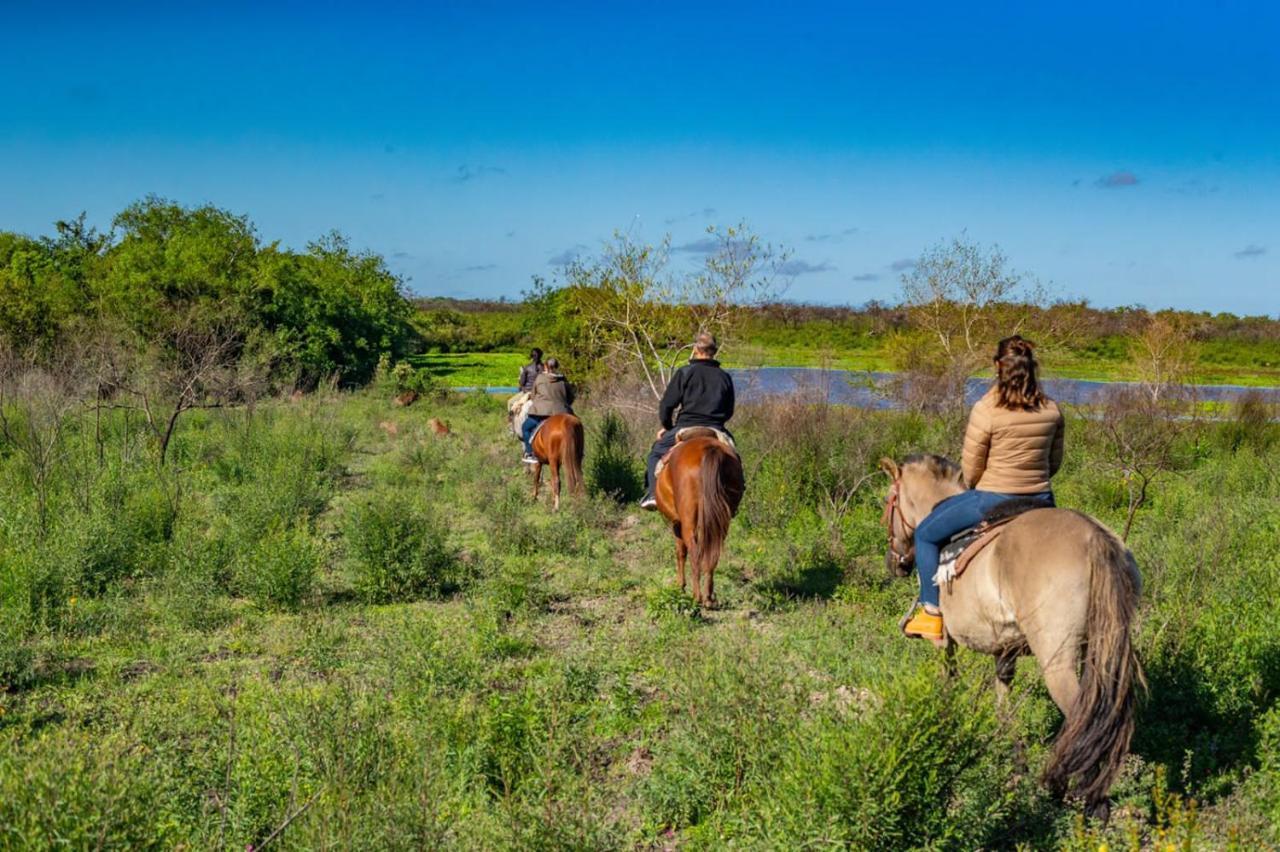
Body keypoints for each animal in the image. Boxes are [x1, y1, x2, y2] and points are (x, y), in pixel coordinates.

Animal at [655, 427, 747, 606]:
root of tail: (709, 449)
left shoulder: (676, 523)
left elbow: (680, 552)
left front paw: (680, 586)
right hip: (720, 521)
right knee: (713, 553)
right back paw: (709, 597)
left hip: (688, 522)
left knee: (694, 552)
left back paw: (697, 596)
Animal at [880, 450, 1141, 818]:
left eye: (888, 501)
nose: (895, 564)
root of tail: (1095, 540)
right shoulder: (1005, 651)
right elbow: (1005, 707)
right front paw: (1016, 767)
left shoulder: (944, 644)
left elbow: (948, 686)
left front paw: (945, 735)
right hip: (1100, 648)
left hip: (1057, 661)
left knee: (1085, 717)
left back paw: (1084, 797)